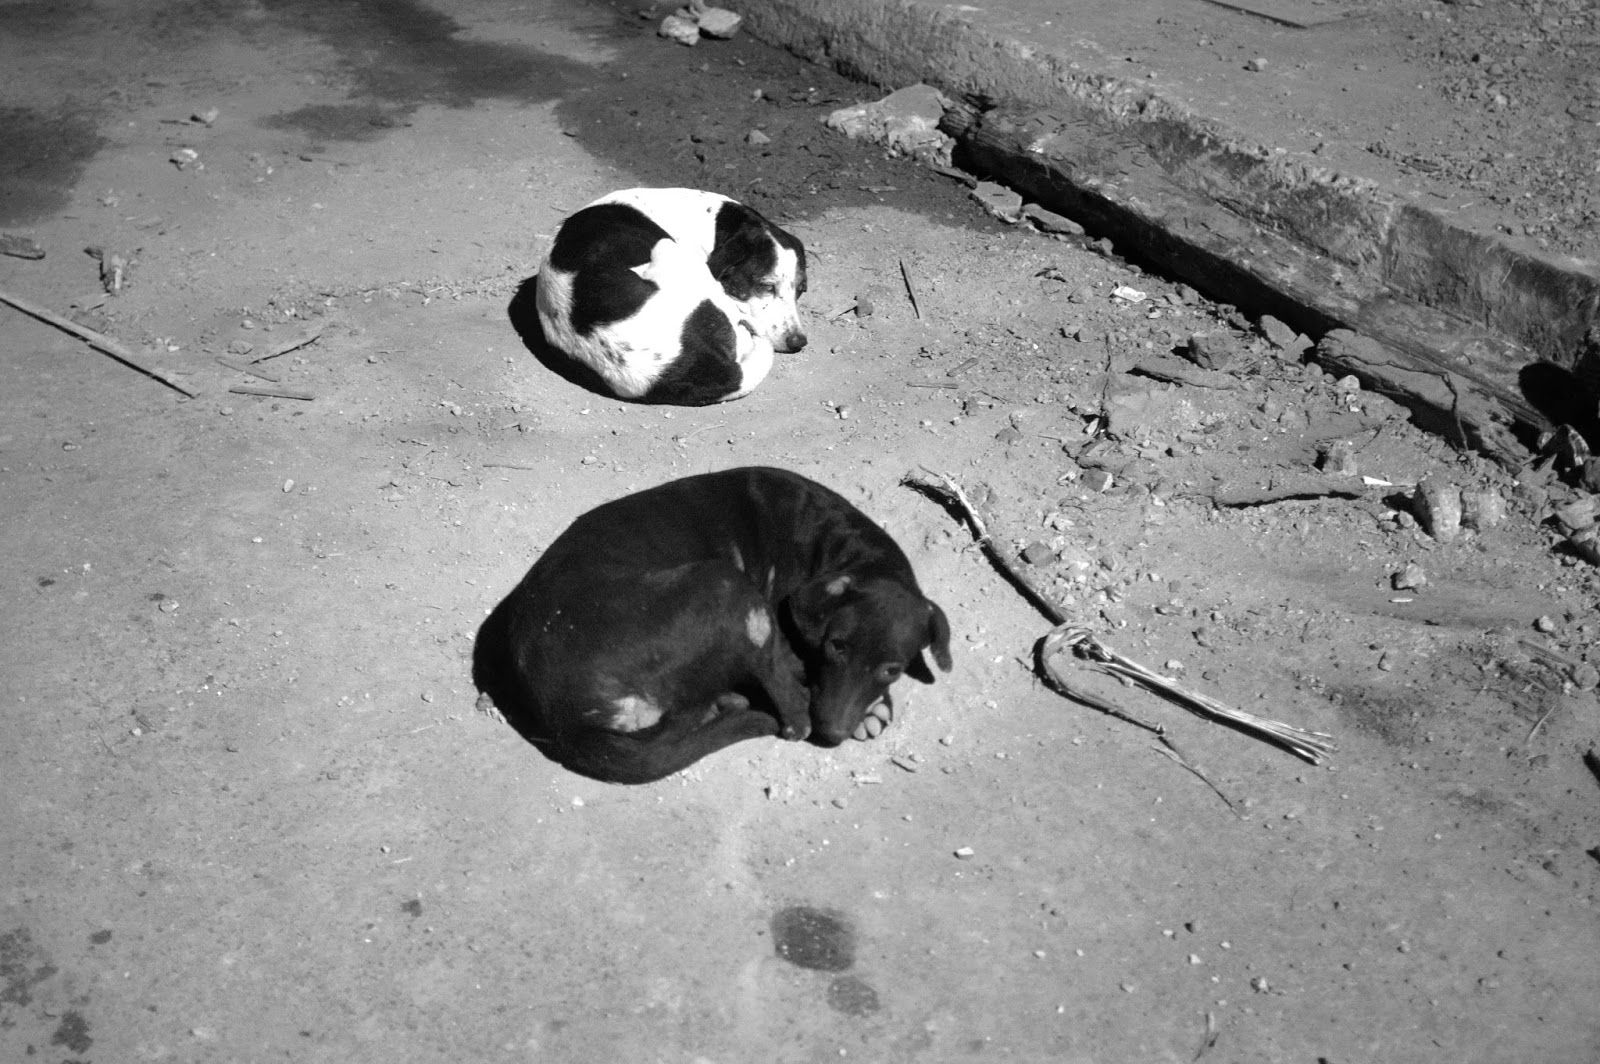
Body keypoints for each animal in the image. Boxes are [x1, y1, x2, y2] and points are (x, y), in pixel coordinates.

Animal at [485, 467, 951, 784]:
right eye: (835, 646)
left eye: (891, 669)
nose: (833, 732)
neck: (841, 545)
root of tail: (561, 719)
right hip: (724, 584)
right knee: (790, 714)